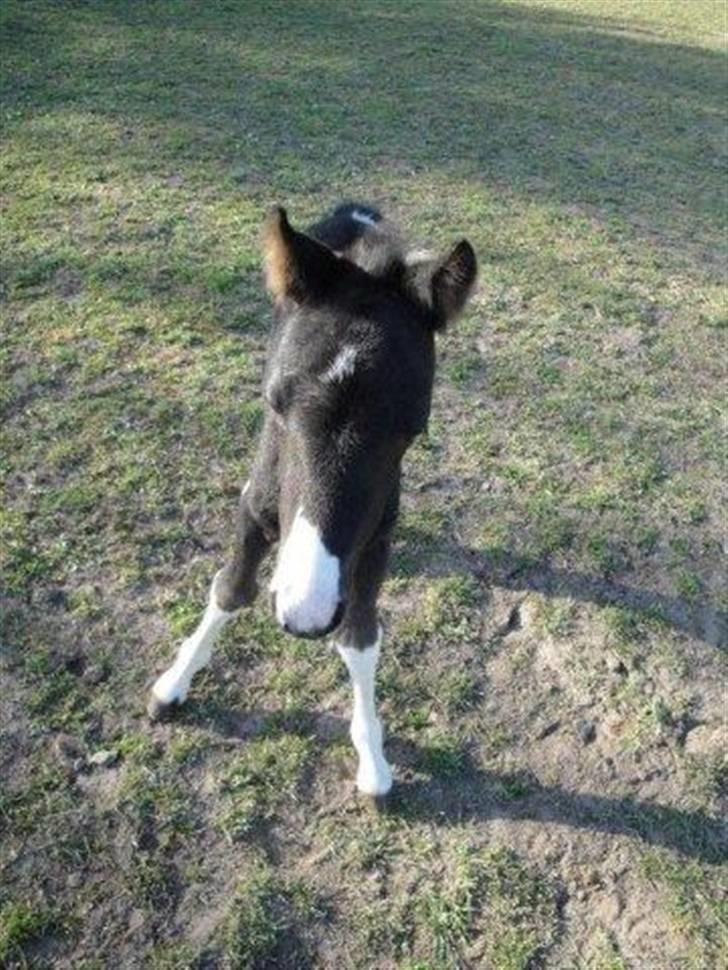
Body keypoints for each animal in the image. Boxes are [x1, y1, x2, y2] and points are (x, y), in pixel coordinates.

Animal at [149, 204, 478, 796]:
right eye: (275, 403)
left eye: (412, 428)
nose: (306, 613)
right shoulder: (255, 502)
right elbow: (230, 589)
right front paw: (173, 684)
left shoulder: (379, 534)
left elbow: (361, 634)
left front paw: (373, 760)